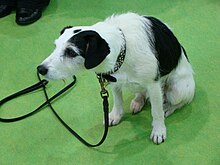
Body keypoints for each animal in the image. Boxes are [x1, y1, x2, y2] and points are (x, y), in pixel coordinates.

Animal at [37, 12, 195, 144]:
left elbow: (156, 112)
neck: (122, 49)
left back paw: (167, 107)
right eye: (55, 46)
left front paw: (158, 130)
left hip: (178, 90)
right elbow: (118, 101)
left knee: (180, 102)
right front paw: (115, 116)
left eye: (71, 52)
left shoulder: (154, 85)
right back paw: (138, 100)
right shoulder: (113, 81)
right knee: (141, 92)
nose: (40, 69)